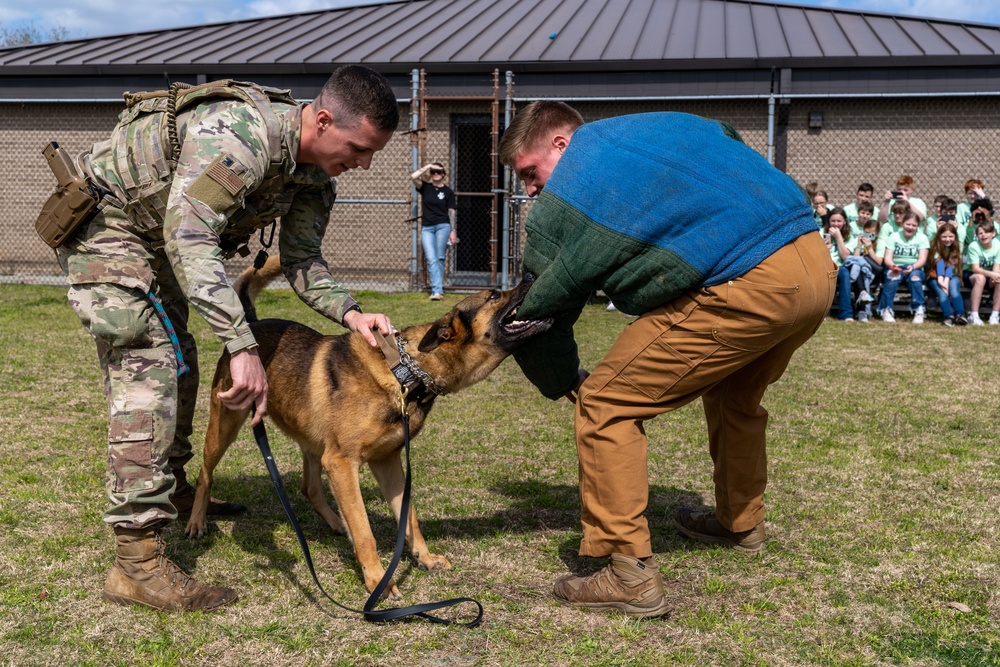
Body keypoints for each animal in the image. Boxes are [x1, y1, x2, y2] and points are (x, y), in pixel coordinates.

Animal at [188, 260, 556, 600]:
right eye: (494, 295)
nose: (530, 274)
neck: (404, 372)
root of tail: (250, 323)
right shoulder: (342, 463)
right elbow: (365, 531)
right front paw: (379, 581)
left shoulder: (387, 462)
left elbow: (409, 517)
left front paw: (424, 558)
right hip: (227, 424)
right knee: (205, 473)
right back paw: (197, 522)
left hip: (313, 441)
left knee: (310, 487)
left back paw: (336, 522)